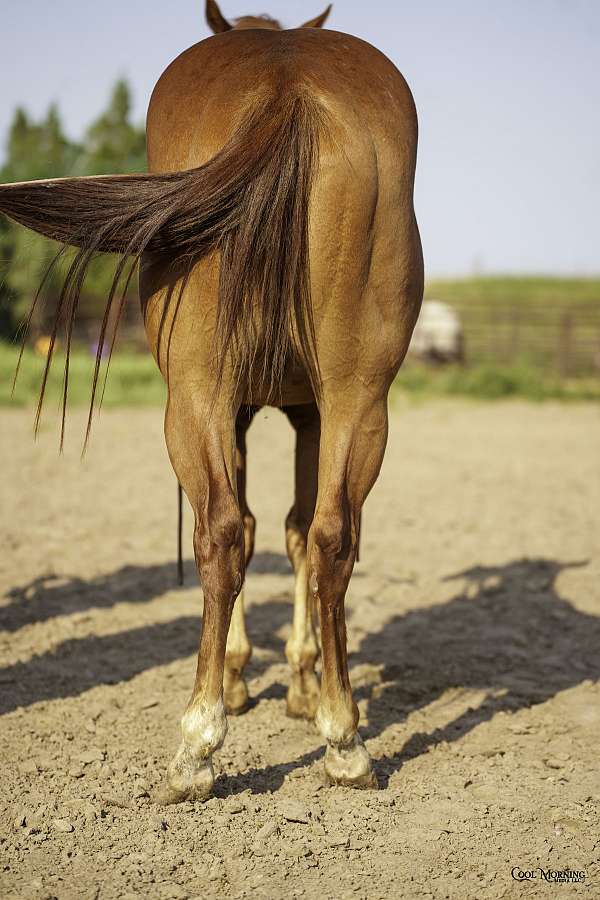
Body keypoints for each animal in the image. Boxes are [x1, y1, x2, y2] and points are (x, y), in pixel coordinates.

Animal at [0, 0, 423, 802]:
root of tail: (289, 85)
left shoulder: (237, 408)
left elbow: (256, 528)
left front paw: (244, 677)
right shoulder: (309, 411)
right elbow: (294, 531)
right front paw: (303, 686)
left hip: (194, 396)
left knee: (222, 532)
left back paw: (198, 744)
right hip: (360, 398)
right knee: (331, 536)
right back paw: (345, 740)